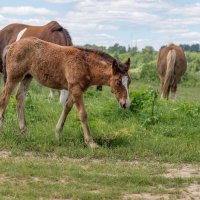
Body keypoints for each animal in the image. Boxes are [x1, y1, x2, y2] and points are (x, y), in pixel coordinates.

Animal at [0, 37, 131, 148]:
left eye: (129, 81)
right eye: (118, 82)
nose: (126, 104)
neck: (85, 64)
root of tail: (12, 45)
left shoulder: (75, 89)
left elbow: (66, 108)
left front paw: (57, 134)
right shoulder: (76, 89)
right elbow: (83, 114)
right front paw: (91, 143)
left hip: (27, 76)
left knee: (19, 97)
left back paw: (25, 132)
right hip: (14, 77)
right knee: (4, 98)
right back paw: (2, 130)